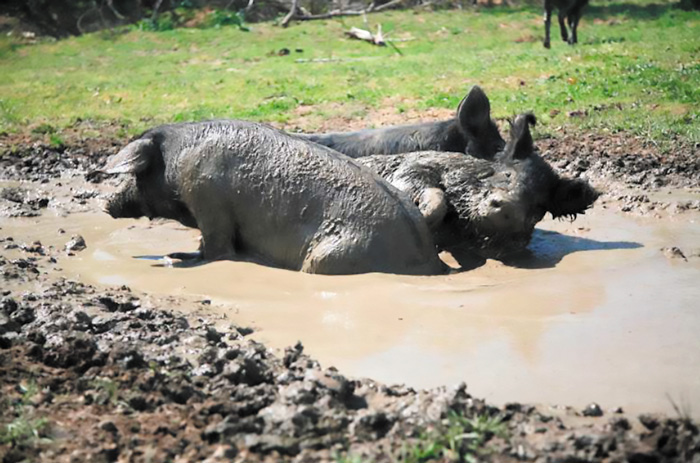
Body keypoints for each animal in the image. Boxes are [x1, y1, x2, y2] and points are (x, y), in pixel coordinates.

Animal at [101, 121, 446, 278]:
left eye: (134, 174)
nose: (106, 204)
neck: (176, 160)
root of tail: (428, 259)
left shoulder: (208, 201)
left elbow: (216, 248)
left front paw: (174, 258)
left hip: (329, 257)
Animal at [358, 111, 600, 260]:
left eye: (538, 204)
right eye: (507, 174)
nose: (510, 207)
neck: (460, 223)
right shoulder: (415, 167)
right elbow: (427, 189)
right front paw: (423, 217)